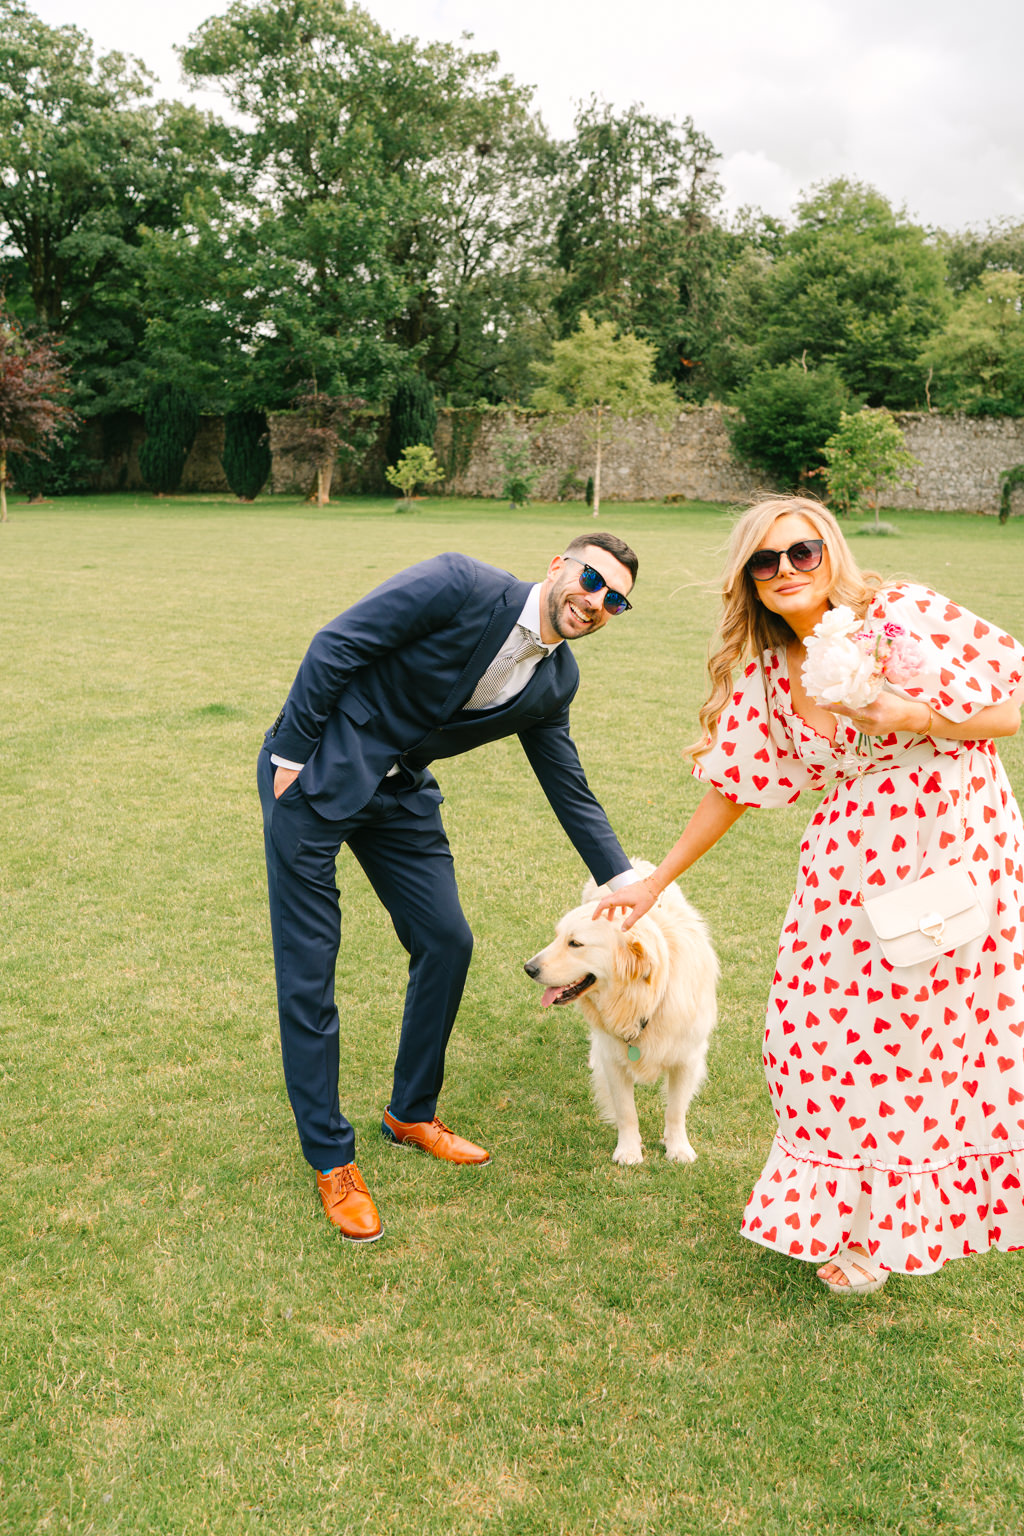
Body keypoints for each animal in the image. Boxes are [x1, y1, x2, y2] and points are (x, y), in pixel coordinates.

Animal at [525, 866, 718, 1161]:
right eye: (557, 937)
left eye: (575, 943)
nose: (528, 968)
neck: (644, 1000)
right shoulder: (615, 1061)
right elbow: (627, 1112)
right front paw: (629, 1151)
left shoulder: (687, 1057)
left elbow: (675, 1110)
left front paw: (678, 1148)